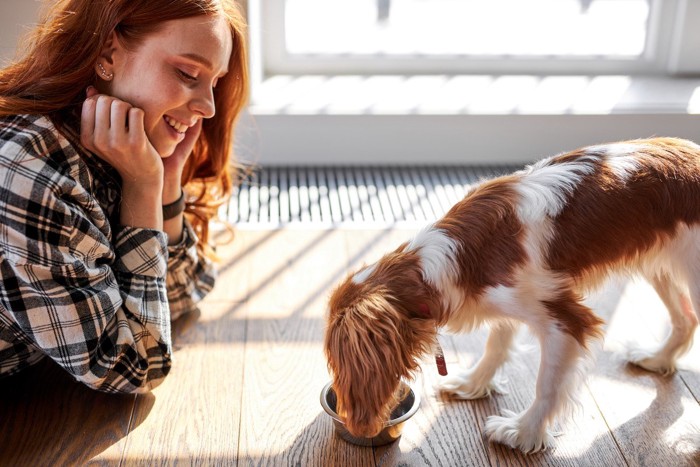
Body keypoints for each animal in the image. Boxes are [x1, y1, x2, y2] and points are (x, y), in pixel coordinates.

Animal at [324, 138, 700, 454]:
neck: (457, 258)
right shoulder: (507, 304)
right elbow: (496, 345)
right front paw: (473, 383)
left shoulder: (564, 320)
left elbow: (546, 386)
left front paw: (523, 432)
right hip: (660, 265)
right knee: (685, 318)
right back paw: (657, 357)